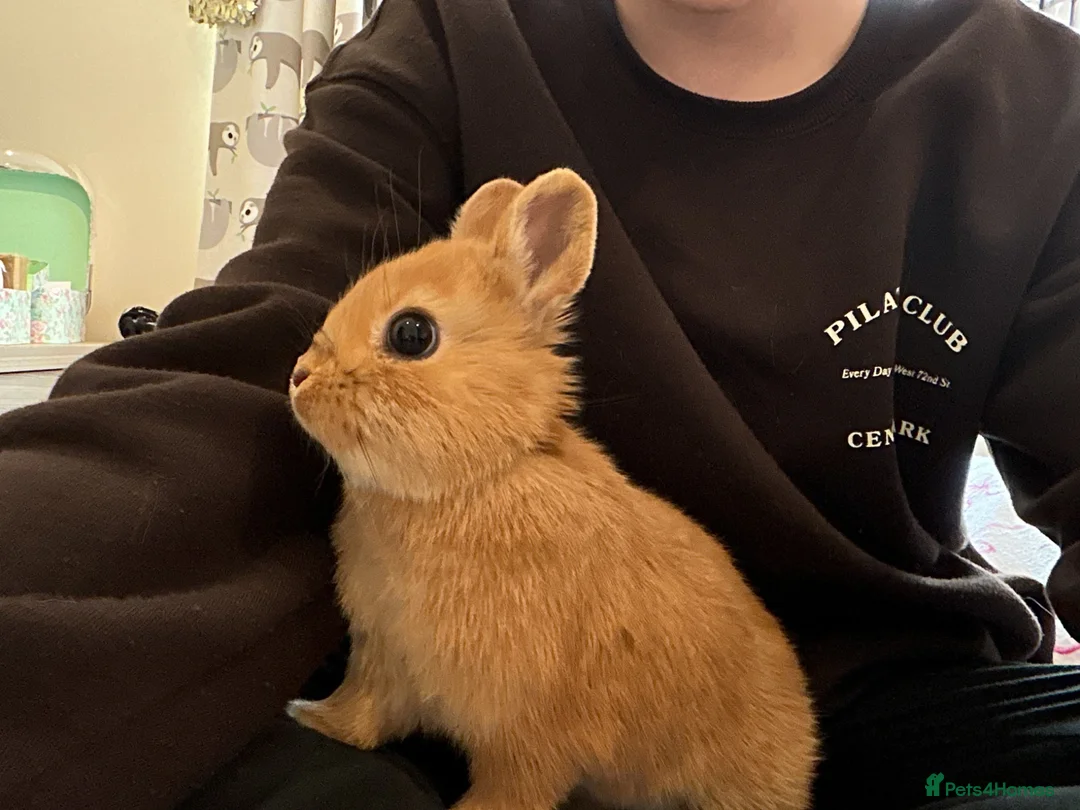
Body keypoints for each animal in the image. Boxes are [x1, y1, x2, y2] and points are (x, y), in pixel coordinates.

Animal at [286, 168, 819, 810]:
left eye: (412, 333)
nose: (298, 377)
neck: (475, 479)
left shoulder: (531, 732)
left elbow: (514, 788)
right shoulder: (383, 657)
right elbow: (364, 715)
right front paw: (310, 717)